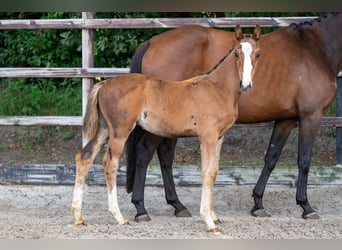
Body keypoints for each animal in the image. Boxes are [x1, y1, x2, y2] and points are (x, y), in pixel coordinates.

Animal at [71, 25, 260, 232]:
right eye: (236, 53)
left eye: (257, 53)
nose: (246, 84)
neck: (217, 88)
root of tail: (104, 84)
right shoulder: (207, 137)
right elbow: (206, 173)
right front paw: (209, 221)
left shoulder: (219, 137)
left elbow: (214, 172)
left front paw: (214, 216)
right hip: (120, 131)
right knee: (110, 163)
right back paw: (119, 216)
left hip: (105, 129)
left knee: (84, 157)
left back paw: (78, 217)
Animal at [127, 12, 340, 222]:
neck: (315, 48)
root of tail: (152, 42)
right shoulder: (311, 116)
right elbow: (304, 161)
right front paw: (306, 206)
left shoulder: (286, 119)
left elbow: (271, 158)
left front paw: (258, 203)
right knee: (145, 153)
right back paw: (141, 209)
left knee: (165, 156)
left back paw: (177, 205)